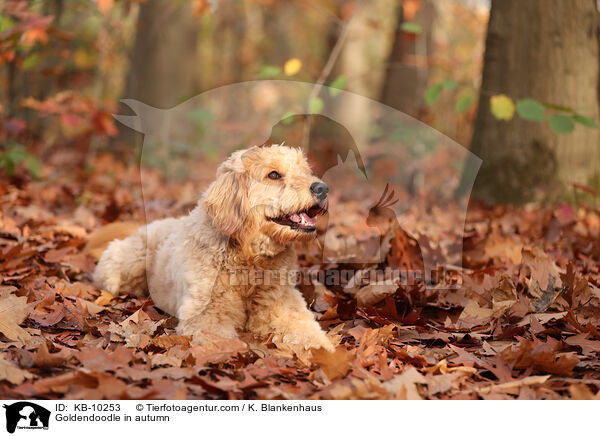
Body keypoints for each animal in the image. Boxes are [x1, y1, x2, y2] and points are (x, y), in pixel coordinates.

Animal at [90, 145, 332, 352]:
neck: (248, 259)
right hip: (125, 267)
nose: (322, 188)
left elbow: (307, 332)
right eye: (273, 175)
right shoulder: (206, 313)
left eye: (305, 171)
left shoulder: (283, 308)